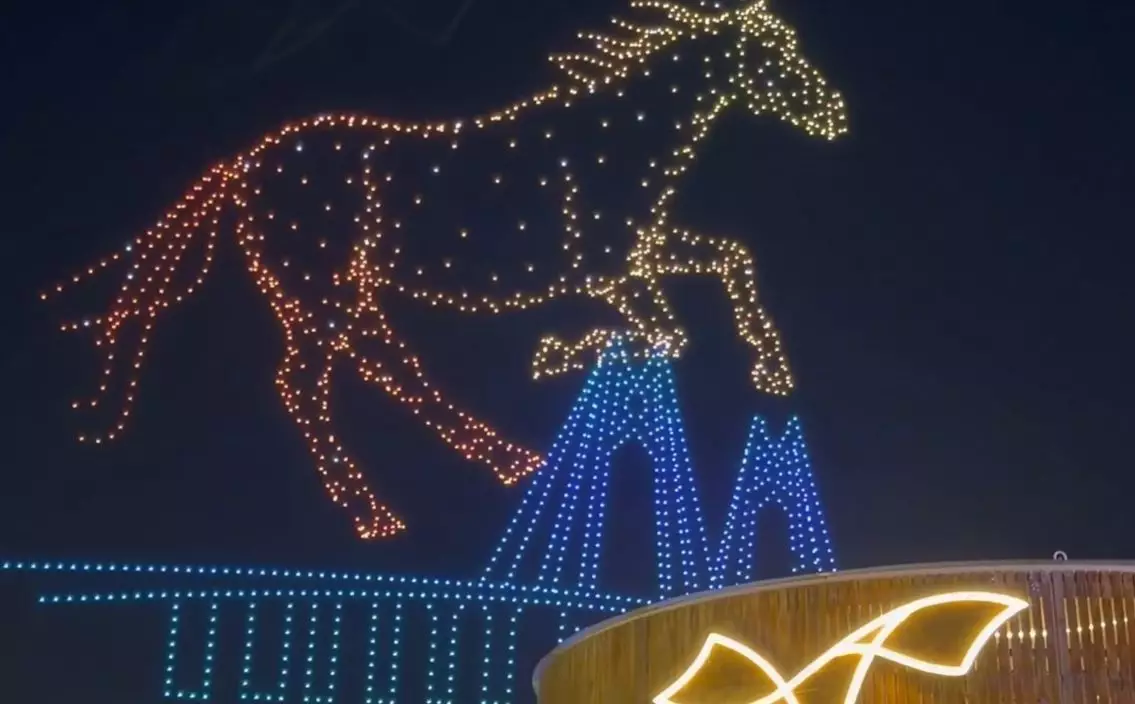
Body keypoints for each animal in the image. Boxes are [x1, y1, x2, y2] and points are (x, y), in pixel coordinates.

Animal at [45, 0, 847, 540]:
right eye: (771, 52)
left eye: (792, 39)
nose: (836, 114)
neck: (622, 136)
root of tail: (245, 163)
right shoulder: (606, 269)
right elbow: (669, 332)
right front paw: (561, 354)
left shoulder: (639, 253)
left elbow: (729, 262)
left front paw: (771, 369)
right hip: (318, 287)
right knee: (307, 383)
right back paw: (377, 512)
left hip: (343, 289)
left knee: (384, 362)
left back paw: (505, 460)